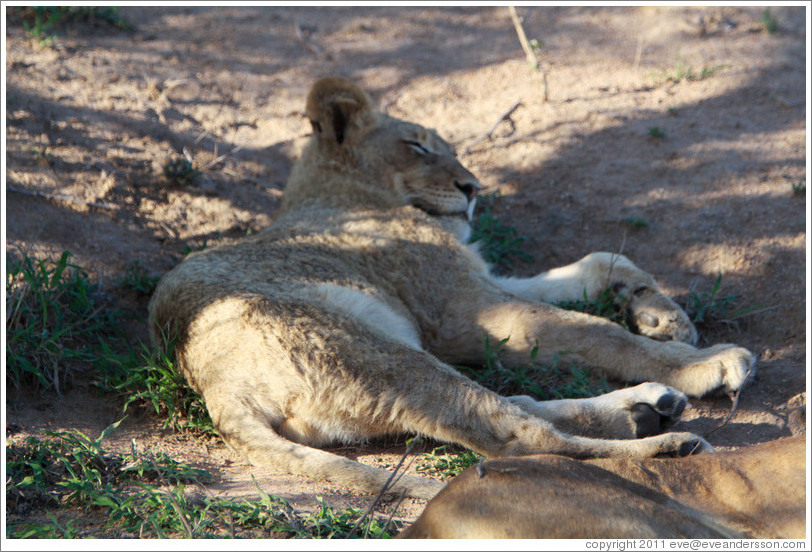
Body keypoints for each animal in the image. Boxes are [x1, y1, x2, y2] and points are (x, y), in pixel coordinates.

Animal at [148, 76, 756, 499]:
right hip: (374, 350)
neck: (338, 194)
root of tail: (214, 383)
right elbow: (593, 330)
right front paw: (706, 361)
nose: (473, 188)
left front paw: (662, 315)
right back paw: (666, 448)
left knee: (516, 404)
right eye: (417, 147)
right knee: (512, 436)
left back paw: (644, 409)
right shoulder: (462, 309)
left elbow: (600, 263)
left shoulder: (479, 279)